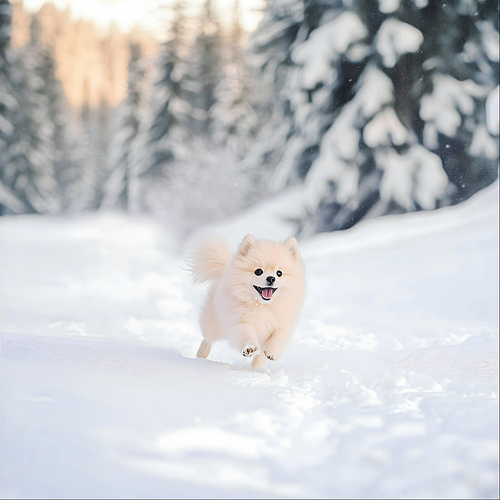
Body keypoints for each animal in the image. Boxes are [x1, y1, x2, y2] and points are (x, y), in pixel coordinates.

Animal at [188, 232, 304, 370]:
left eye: (279, 273)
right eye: (258, 271)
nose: (271, 278)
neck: (262, 305)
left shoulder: (282, 324)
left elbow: (278, 338)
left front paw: (271, 352)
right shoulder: (240, 321)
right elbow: (246, 335)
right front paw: (250, 348)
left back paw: (256, 369)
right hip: (215, 324)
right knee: (208, 339)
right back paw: (201, 355)